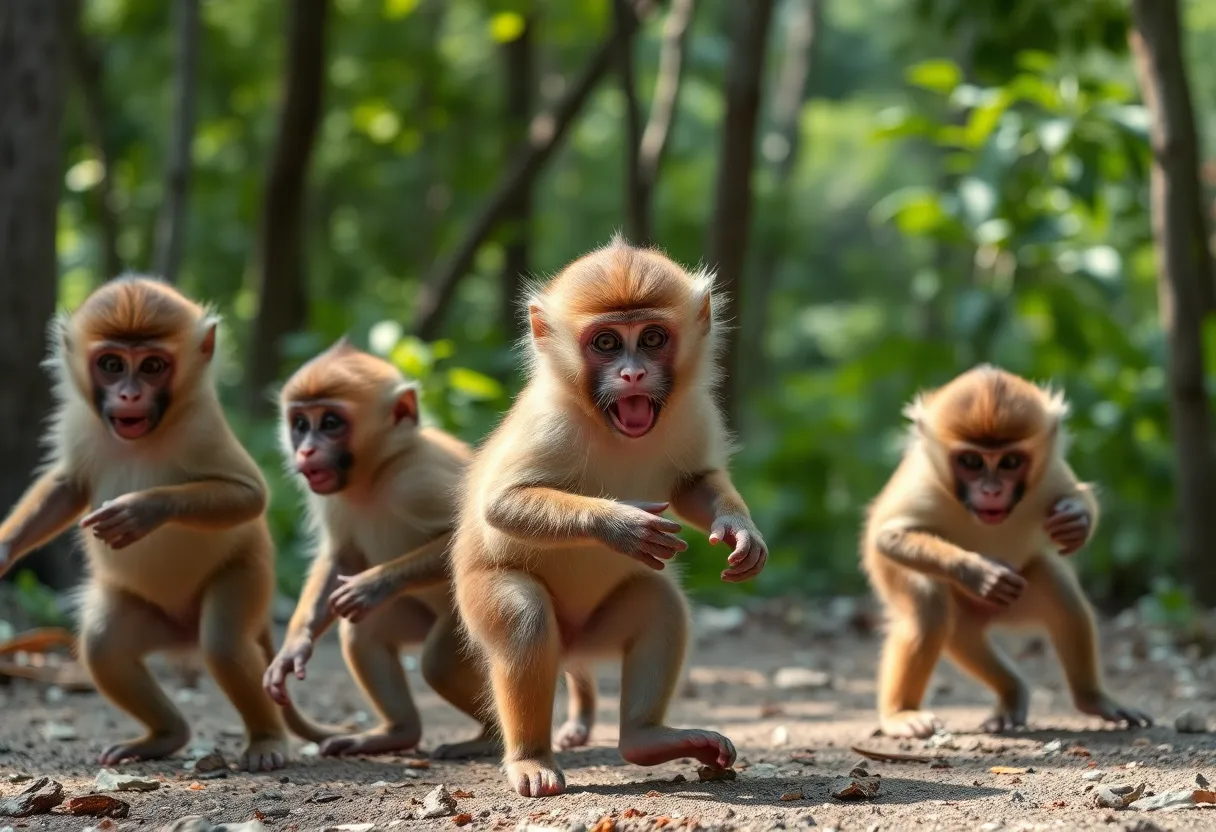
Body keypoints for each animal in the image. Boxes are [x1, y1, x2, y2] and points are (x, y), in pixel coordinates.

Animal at [0, 276, 335, 768]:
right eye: (112, 364)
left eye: (153, 365)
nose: (129, 395)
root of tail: (182, 636)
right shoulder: (79, 422)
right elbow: (68, 487)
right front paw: (3, 549)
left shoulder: (203, 427)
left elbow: (249, 497)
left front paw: (142, 509)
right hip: (148, 616)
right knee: (103, 644)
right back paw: (165, 735)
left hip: (248, 576)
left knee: (223, 644)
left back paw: (266, 739)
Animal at [262, 340, 598, 759]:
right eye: (300, 424)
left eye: (330, 423)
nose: (306, 451)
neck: (376, 474)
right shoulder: (332, 497)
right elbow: (340, 557)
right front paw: (292, 651)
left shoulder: (420, 481)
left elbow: (465, 541)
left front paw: (373, 584)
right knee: (362, 633)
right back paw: (398, 733)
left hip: (464, 621)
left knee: (438, 661)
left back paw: (487, 738)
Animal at [447, 235, 768, 797]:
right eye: (606, 344)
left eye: (653, 337)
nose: (633, 373)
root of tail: (572, 647)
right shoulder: (548, 422)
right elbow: (502, 504)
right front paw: (622, 525)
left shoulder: (693, 411)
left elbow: (694, 484)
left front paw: (740, 531)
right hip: (480, 602)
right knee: (524, 618)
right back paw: (531, 758)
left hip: (596, 631)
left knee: (660, 606)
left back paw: (647, 739)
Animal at [860, 367, 1152, 739]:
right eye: (972, 461)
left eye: (1010, 461)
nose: (991, 489)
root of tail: (983, 615)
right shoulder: (924, 485)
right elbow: (890, 538)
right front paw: (981, 573)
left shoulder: (1048, 473)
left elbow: (1080, 497)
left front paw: (1076, 520)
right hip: (945, 600)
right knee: (929, 611)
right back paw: (901, 713)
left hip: (1014, 602)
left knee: (1061, 602)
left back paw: (1080, 699)